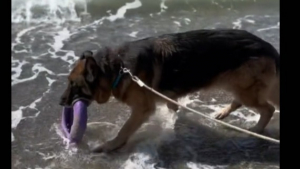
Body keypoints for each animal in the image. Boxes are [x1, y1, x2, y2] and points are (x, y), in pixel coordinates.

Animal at [59, 29, 280, 153]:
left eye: (73, 84)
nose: (60, 102)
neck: (116, 68)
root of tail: (268, 47)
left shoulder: (141, 110)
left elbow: (124, 130)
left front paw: (111, 145)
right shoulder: (166, 98)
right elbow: (172, 107)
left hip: (244, 88)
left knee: (268, 108)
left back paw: (257, 130)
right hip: (237, 85)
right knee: (242, 101)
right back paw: (224, 112)